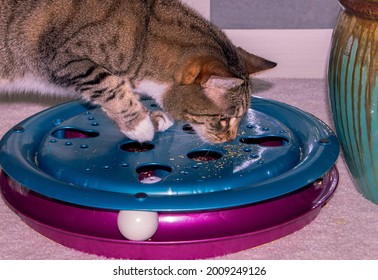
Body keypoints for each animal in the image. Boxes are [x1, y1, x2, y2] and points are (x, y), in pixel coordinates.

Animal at [0, 0, 276, 143]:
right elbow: (109, 85)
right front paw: (140, 125)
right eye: (224, 119)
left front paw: (152, 117)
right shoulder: (65, 57)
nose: (230, 139)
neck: (142, 36)